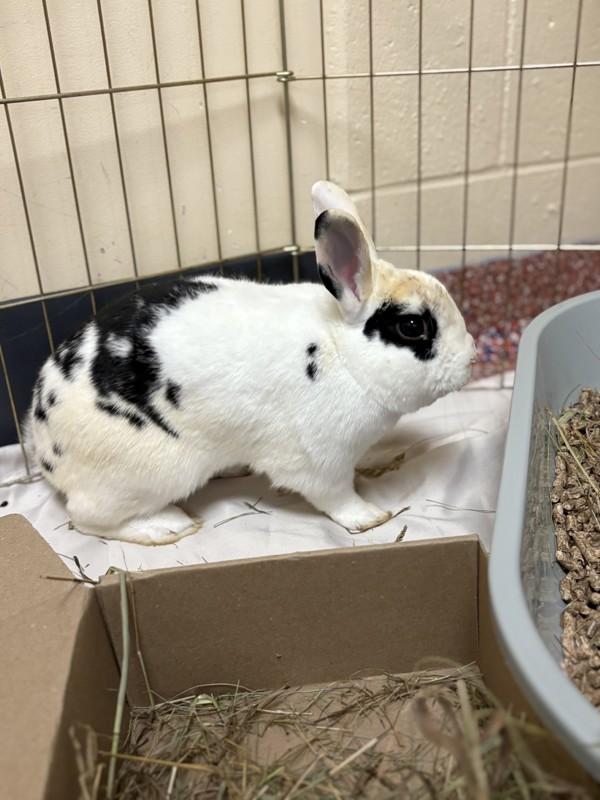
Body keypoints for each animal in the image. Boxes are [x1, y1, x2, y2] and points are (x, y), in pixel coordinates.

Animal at [26, 180, 476, 545]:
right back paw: (167, 526)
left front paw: (383, 459)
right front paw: (370, 517)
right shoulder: (318, 461)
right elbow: (336, 496)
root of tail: (43, 441)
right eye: (413, 326)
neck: (342, 353)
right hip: (145, 474)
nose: (471, 358)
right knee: (87, 519)